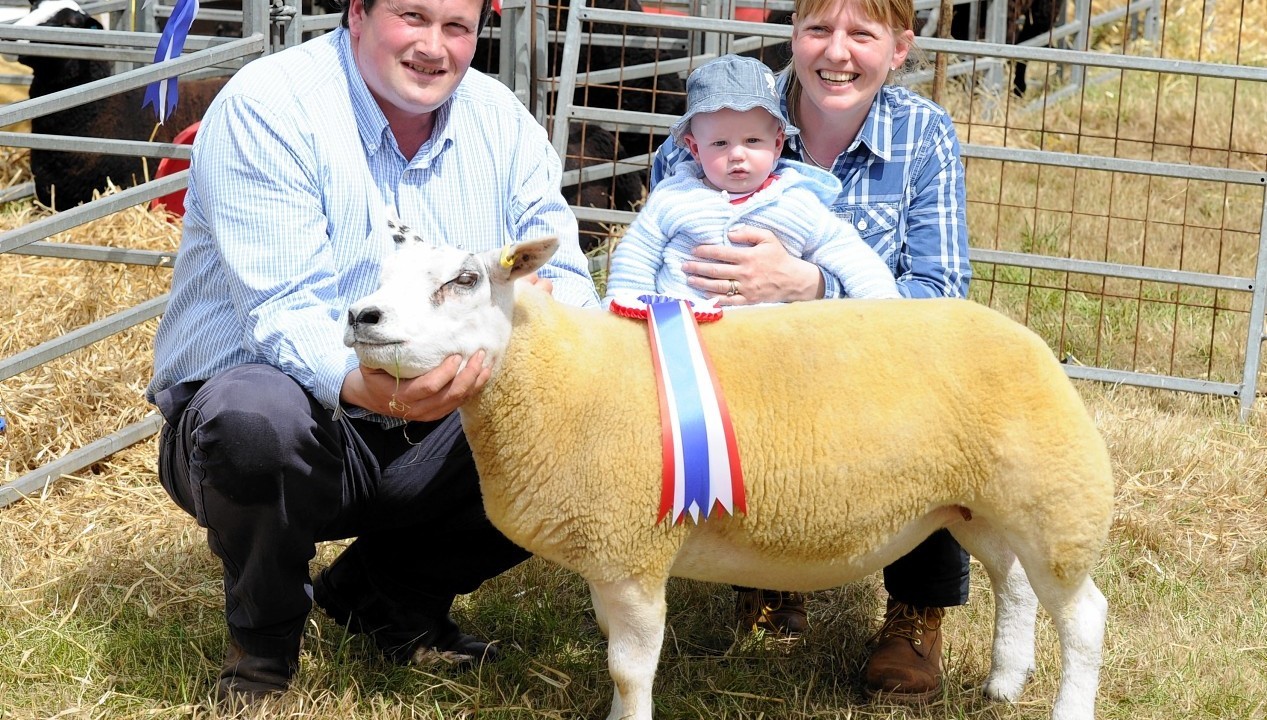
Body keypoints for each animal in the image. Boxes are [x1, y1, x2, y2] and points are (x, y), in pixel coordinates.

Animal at [344, 231, 1109, 720]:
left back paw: (1064, 705)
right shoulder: (610, 553)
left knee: (1082, 616)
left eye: (465, 280)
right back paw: (1004, 682)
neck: (562, 377)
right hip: (979, 504)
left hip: (1054, 499)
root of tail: (1026, 337)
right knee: (1013, 584)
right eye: (381, 273)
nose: (360, 316)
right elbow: (617, 654)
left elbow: (629, 667)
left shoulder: (635, 550)